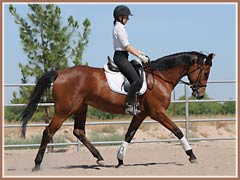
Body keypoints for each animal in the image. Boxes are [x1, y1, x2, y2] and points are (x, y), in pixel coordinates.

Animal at [20, 50, 215, 170]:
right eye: (205, 73)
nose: (199, 94)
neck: (160, 78)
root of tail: (60, 73)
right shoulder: (158, 113)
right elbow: (178, 131)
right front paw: (192, 155)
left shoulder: (141, 114)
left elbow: (129, 134)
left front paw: (120, 159)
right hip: (64, 110)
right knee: (48, 132)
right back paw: (37, 164)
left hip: (81, 107)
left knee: (79, 131)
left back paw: (99, 157)